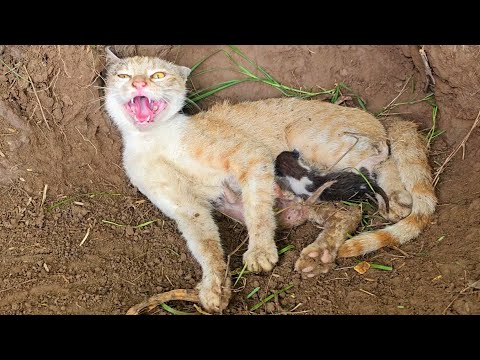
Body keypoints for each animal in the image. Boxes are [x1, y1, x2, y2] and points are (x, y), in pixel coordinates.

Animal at [105, 47, 438, 312]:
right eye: (123, 76)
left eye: (158, 75)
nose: (139, 83)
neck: (153, 140)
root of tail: (378, 116)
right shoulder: (187, 208)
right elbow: (205, 246)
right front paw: (213, 288)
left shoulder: (250, 157)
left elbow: (258, 212)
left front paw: (261, 253)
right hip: (307, 197)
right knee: (349, 210)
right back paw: (319, 255)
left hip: (313, 140)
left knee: (382, 156)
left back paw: (396, 199)